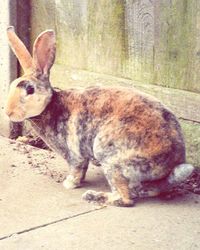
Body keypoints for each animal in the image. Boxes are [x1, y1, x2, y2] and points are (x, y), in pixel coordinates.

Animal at [5, 26, 196, 207]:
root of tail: (174, 161)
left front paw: (69, 184)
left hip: (110, 157)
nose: (8, 112)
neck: (49, 105)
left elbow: (77, 169)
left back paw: (93, 196)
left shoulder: (75, 155)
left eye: (30, 90)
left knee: (125, 198)